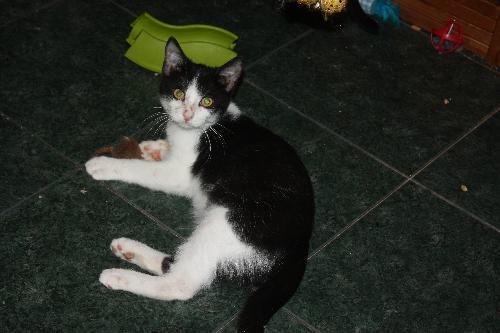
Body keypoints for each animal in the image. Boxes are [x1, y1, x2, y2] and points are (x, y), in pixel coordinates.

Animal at [84, 37, 314, 330]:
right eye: (179, 93)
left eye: (207, 101)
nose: (187, 113)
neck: (206, 127)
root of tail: (299, 250)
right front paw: (154, 147)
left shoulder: (179, 174)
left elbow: (143, 170)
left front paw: (104, 164)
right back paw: (129, 250)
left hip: (227, 224)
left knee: (180, 284)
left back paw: (119, 275)